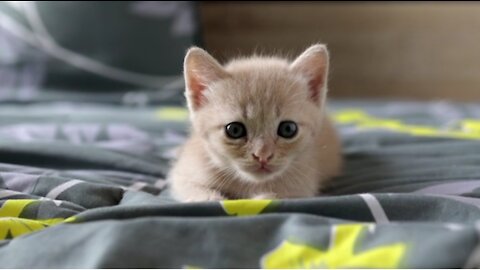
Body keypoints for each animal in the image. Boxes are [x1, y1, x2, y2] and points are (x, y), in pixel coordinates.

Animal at [168, 43, 342, 200]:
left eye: (288, 129)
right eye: (234, 130)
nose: (262, 156)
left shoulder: (302, 187)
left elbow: (271, 198)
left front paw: (263, 197)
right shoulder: (183, 175)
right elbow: (198, 193)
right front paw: (213, 197)